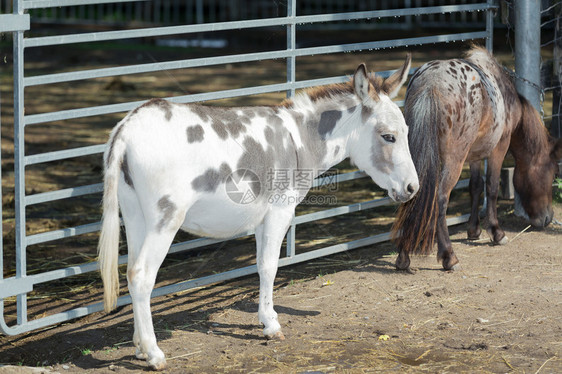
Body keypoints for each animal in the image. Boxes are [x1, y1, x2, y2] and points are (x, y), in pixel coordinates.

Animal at [98, 57, 418, 370]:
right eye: (389, 137)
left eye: (406, 133)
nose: (413, 188)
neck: (299, 140)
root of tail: (126, 129)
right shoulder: (280, 211)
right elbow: (269, 266)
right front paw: (271, 325)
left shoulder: (262, 218)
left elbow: (261, 265)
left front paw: (267, 319)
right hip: (165, 218)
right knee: (142, 275)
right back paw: (154, 354)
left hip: (135, 216)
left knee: (130, 273)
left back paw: (139, 347)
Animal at [390, 46, 560, 274]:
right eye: (552, 174)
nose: (547, 217)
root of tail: (431, 84)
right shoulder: (499, 147)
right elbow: (492, 187)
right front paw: (496, 232)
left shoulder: (474, 154)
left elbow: (476, 186)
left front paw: (473, 230)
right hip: (454, 160)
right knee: (441, 198)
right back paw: (449, 257)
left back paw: (403, 256)